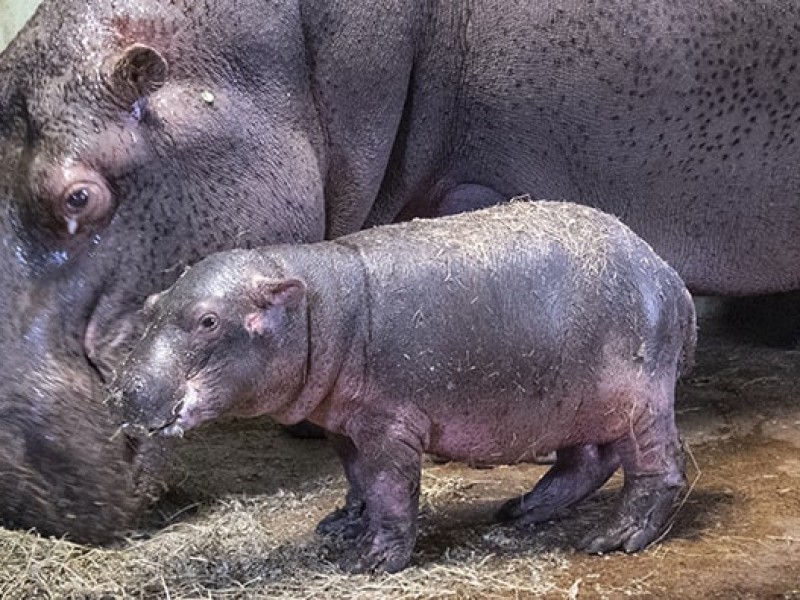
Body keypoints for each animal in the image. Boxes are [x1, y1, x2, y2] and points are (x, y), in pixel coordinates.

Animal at [106, 200, 692, 572]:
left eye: (208, 321)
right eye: (151, 305)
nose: (120, 390)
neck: (318, 304)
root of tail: (668, 273)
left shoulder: (388, 424)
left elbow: (390, 488)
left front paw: (369, 561)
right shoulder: (343, 424)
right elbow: (357, 477)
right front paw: (339, 525)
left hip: (639, 399)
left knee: (658, 465)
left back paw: (613, 540)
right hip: (574, 400)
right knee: (589, 459)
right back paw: (520, 510)